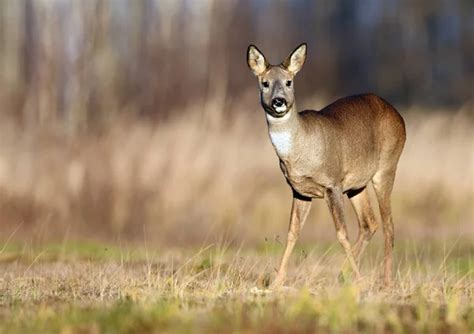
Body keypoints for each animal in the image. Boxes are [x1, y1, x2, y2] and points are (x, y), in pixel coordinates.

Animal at [246, 43, 406, 288]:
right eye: (265, 83)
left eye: (289, 82)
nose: (279, 101)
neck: (301, 149)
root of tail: (399, 116)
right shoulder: (300, 191)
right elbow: (292, 232)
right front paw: (277, 282)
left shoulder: (333, 184)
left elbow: (341, 233)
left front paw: (360, 280)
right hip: (357, 185)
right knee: (369, 223)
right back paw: (343, 275)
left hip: (387, 167)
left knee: (388, 225)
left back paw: (386, 282)